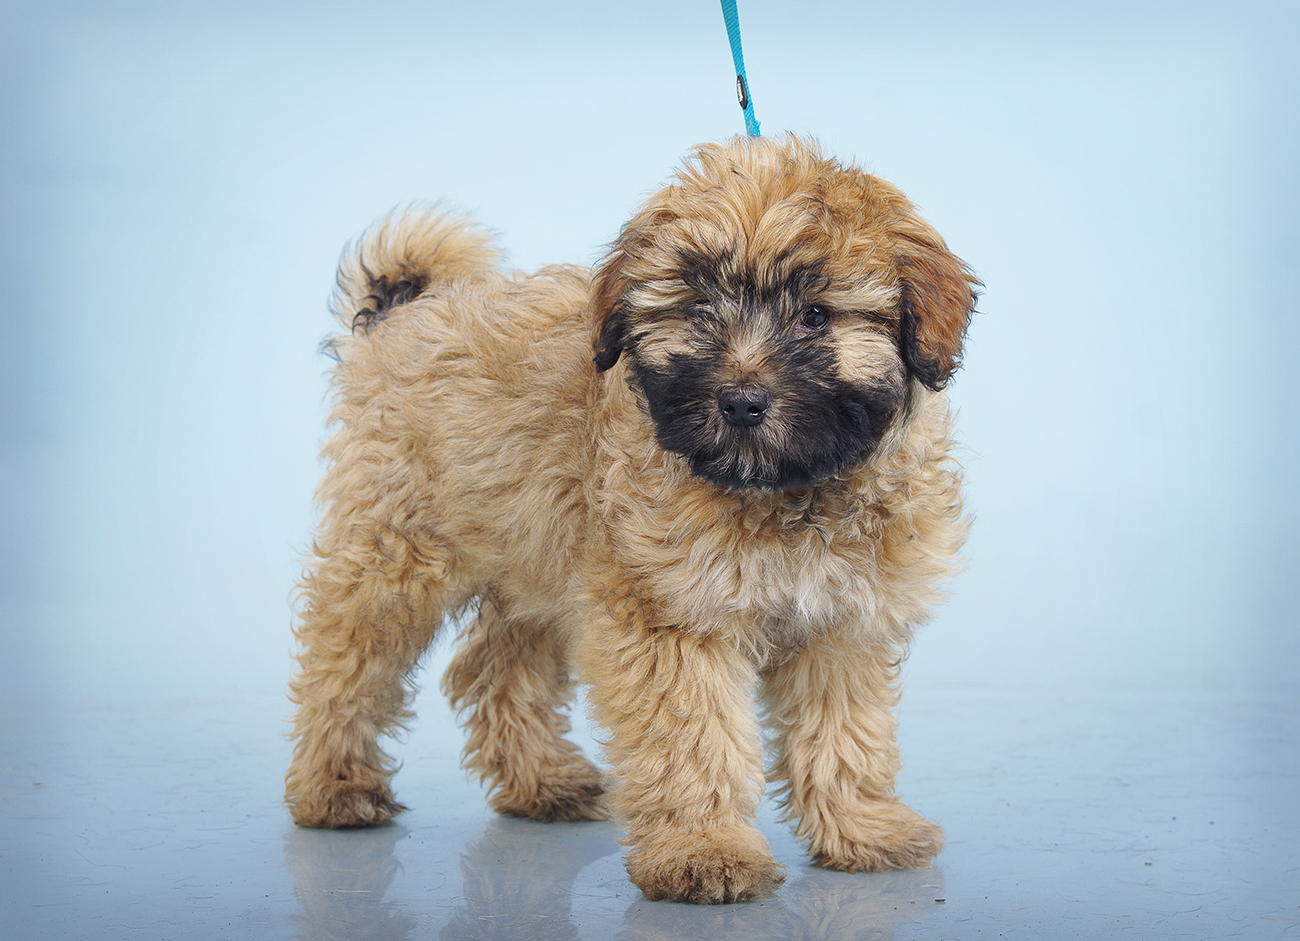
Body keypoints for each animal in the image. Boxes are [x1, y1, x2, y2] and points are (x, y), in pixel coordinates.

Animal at [285, 135, 977, 905]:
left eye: (817, 315)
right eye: (698, 307)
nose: (741, 403)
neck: (783, 490)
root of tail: (401, 316)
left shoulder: (840, 623)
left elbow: (846, 733)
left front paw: (863, 829)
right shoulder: (671, 617)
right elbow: (693, 738)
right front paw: (703, 851)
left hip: (533, 552)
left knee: (494, 667)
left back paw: (543, 782)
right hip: (394, 551)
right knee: (346, 662)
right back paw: (334, 787)